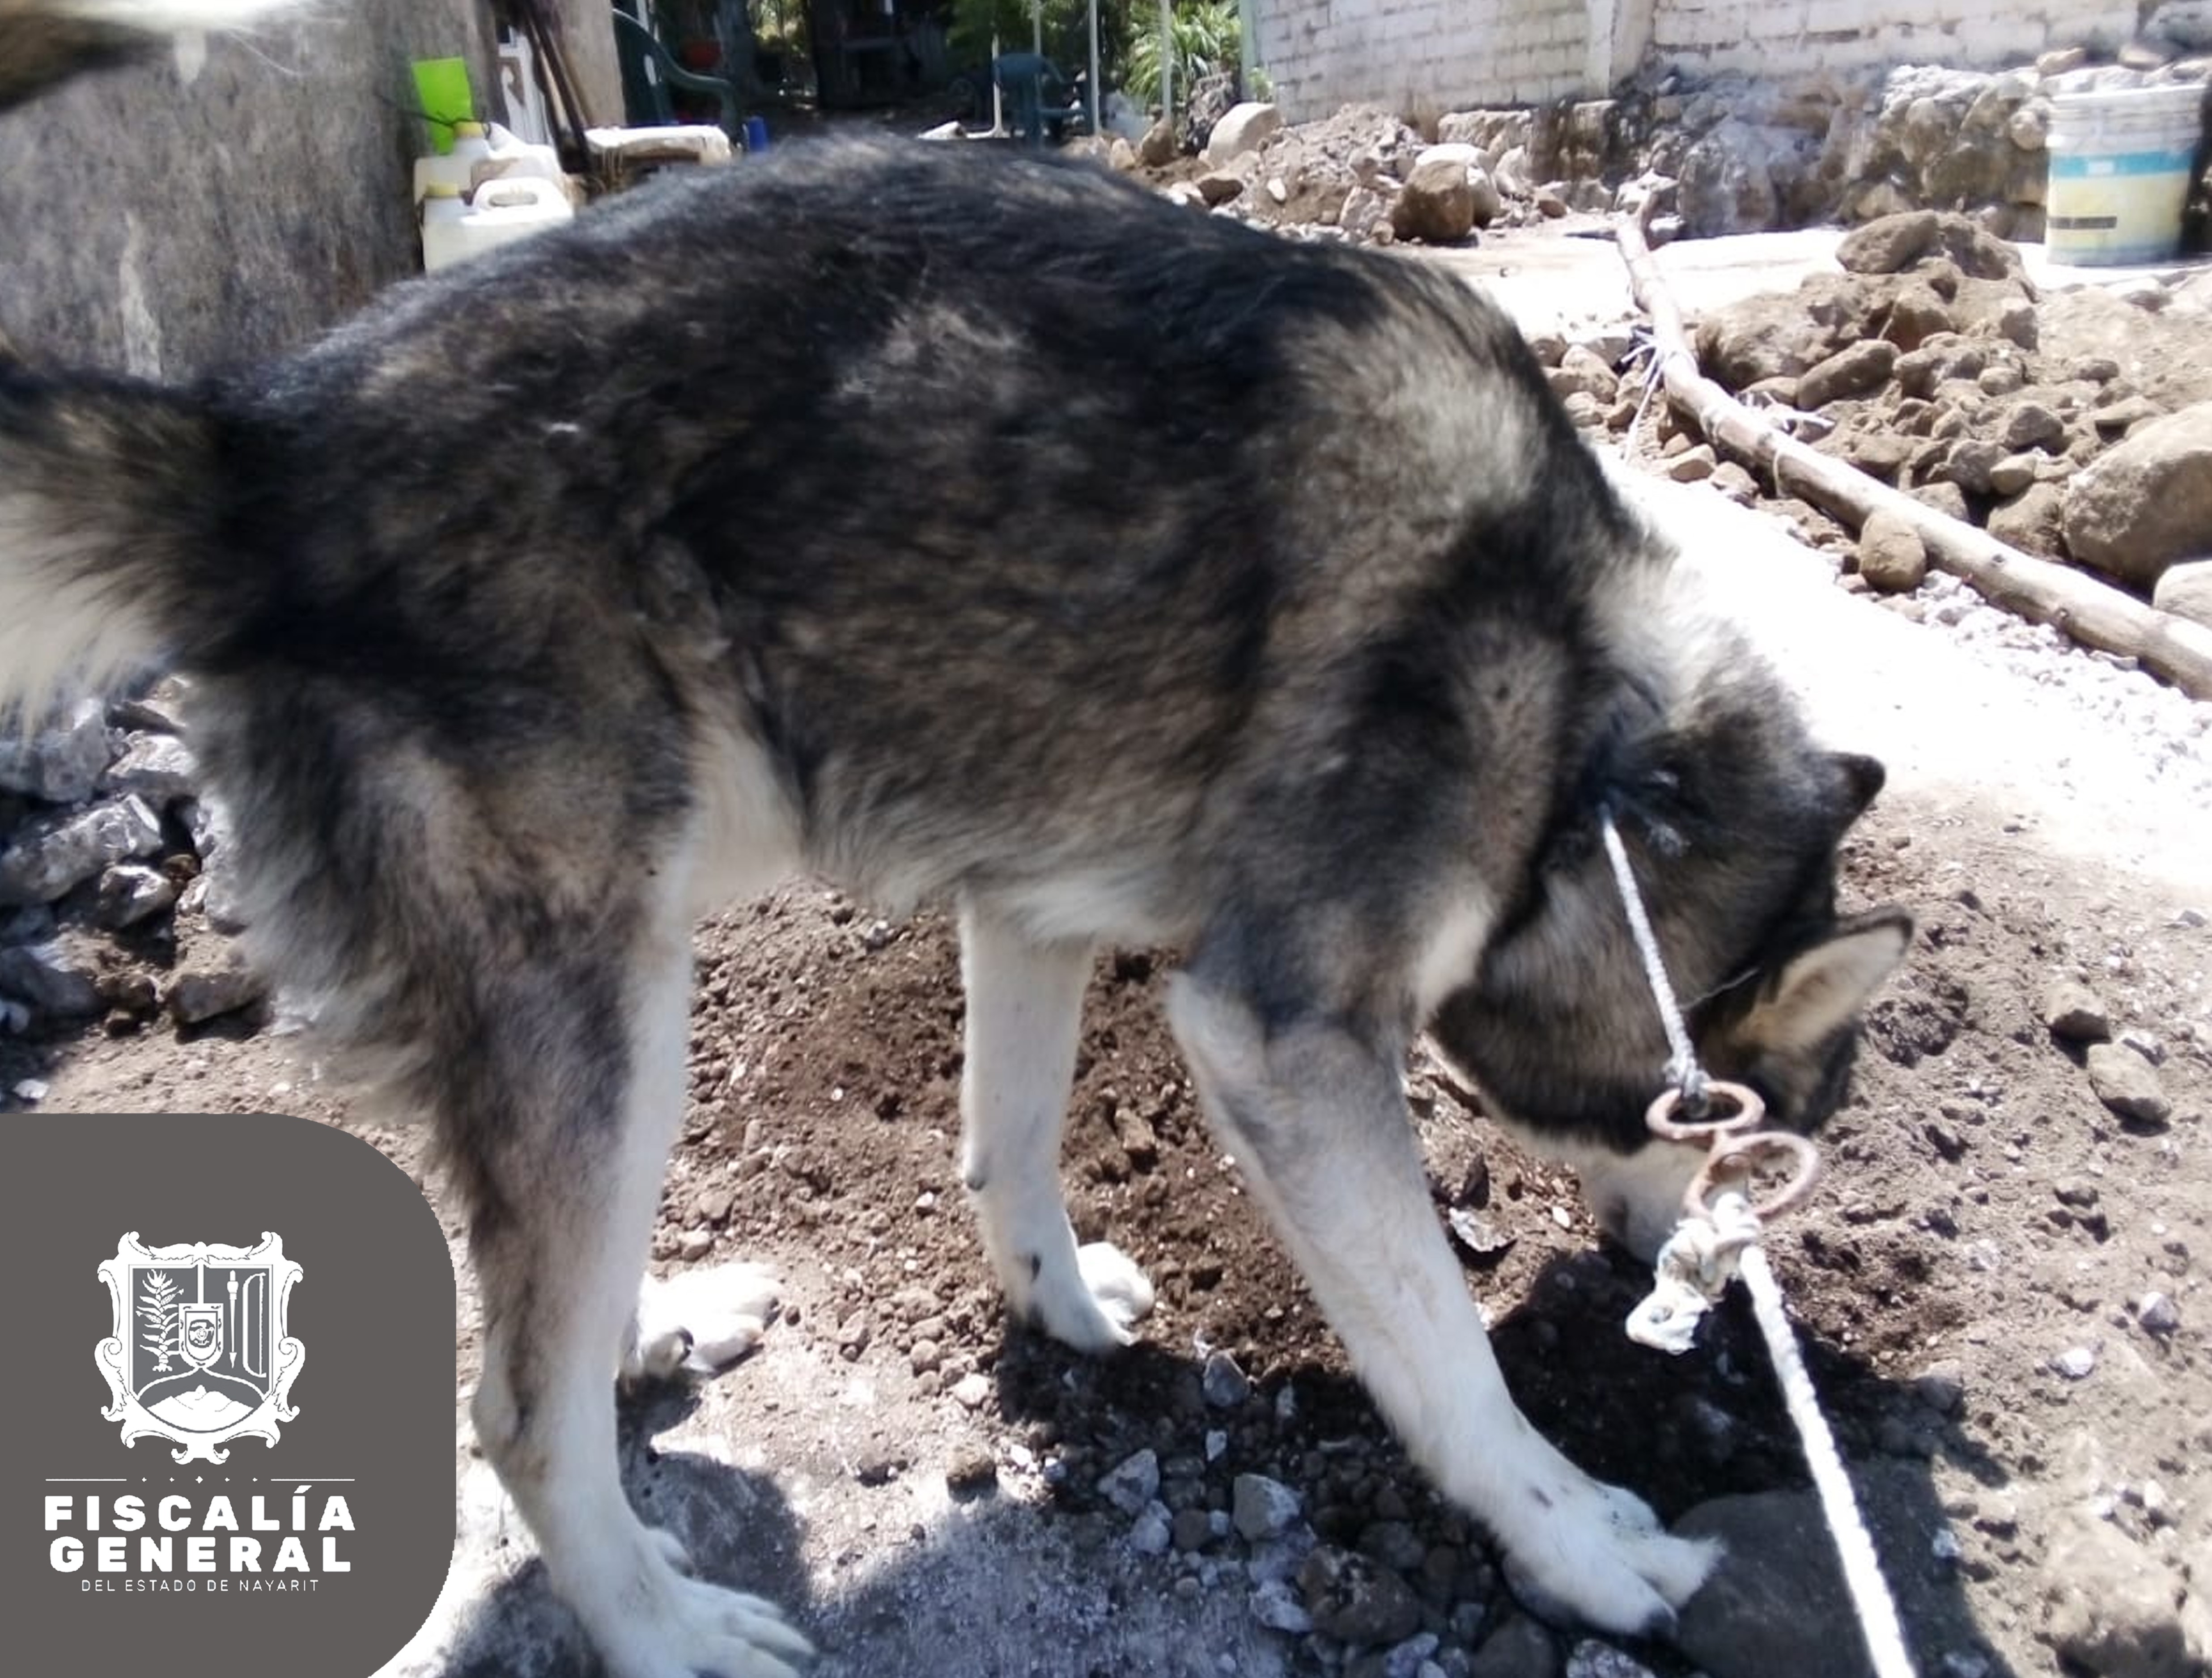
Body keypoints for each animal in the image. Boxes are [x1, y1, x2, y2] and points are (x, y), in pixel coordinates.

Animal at [1, 5, 1909, 1673]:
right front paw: (1576, 1538)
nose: (1715, 1294)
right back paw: (661, 1626)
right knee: (515, 1409)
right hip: (610, 991)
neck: (1603, 752)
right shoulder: (1280, 1039)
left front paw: (1058, 1315)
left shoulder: (1035, 910)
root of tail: (259, 445)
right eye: (1759, 1148)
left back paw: (647, 1331)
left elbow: (1007, 1147)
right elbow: (1448, 1360)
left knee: (547, 1303)